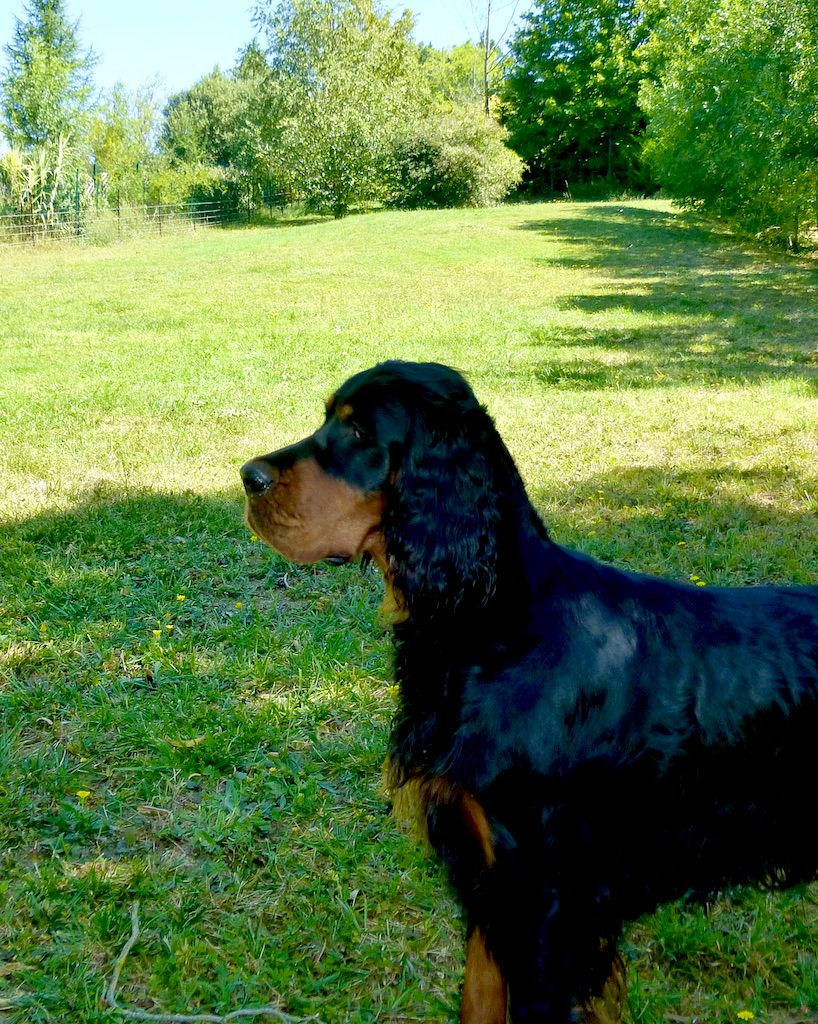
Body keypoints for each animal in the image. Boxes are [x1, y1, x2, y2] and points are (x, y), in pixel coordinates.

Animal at [239, 360, 818, 1024]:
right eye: (328, 419)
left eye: (359, 433)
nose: (248, 477)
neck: (496, 628)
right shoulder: (489, 882)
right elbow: (478, 998)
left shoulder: (546, 904)